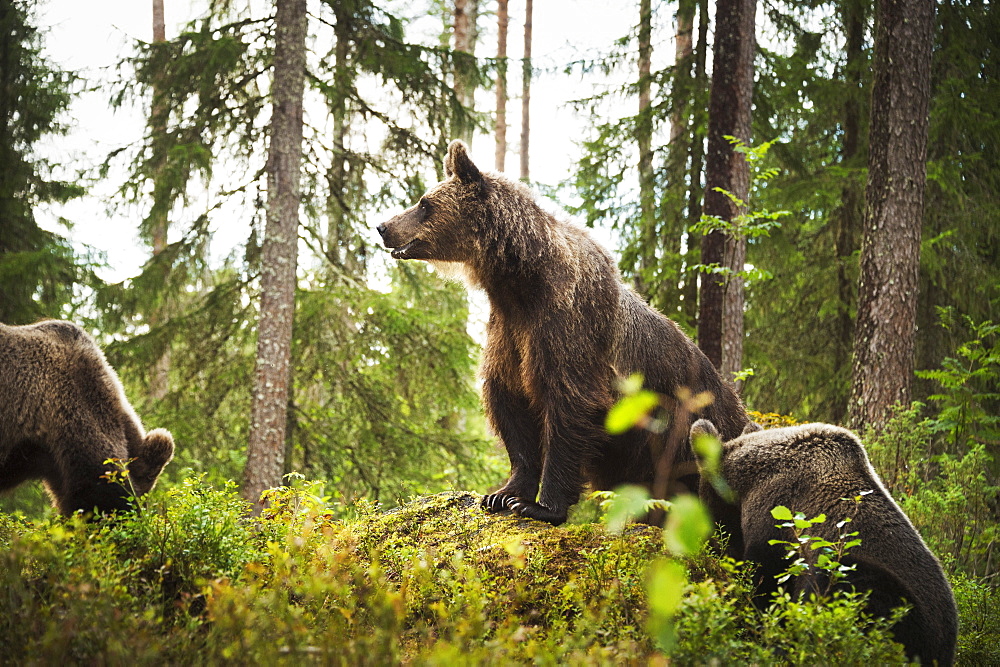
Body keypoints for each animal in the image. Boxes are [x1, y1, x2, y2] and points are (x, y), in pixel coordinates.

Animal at [376, 141, 752, 528]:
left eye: (424, 203)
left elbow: (568, 404)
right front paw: (502, 494)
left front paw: (541, 505)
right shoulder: (508, 330)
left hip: (687, 430)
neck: (519, 280)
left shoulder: (568, 324)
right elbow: (510, 402)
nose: (383, 227)